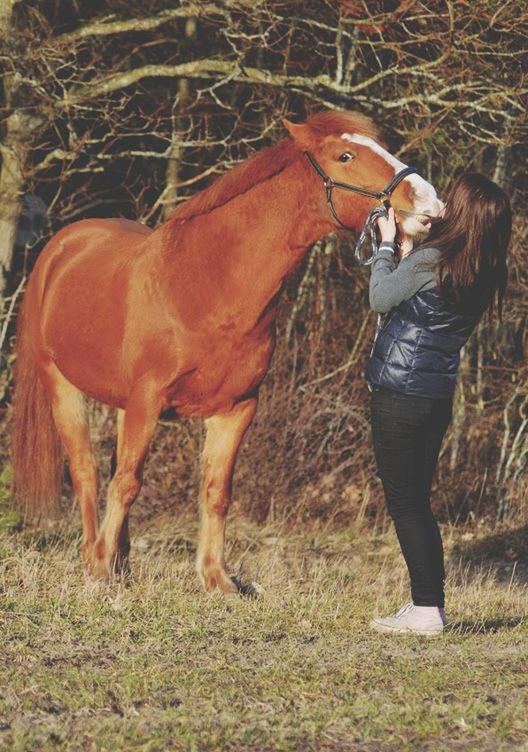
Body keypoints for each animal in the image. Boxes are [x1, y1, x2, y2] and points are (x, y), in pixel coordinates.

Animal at [13, 110, 442, 592]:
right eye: (345, 155)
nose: (429, 202)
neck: (206, 283)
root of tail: (62, 246)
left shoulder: (236, 409)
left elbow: (215, 492)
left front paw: (216, 578)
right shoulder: (147, 401)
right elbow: (126, 483)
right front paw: (102, 570)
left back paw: (120, 560)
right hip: (63, 387)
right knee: (87, 471)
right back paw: (96, 558)